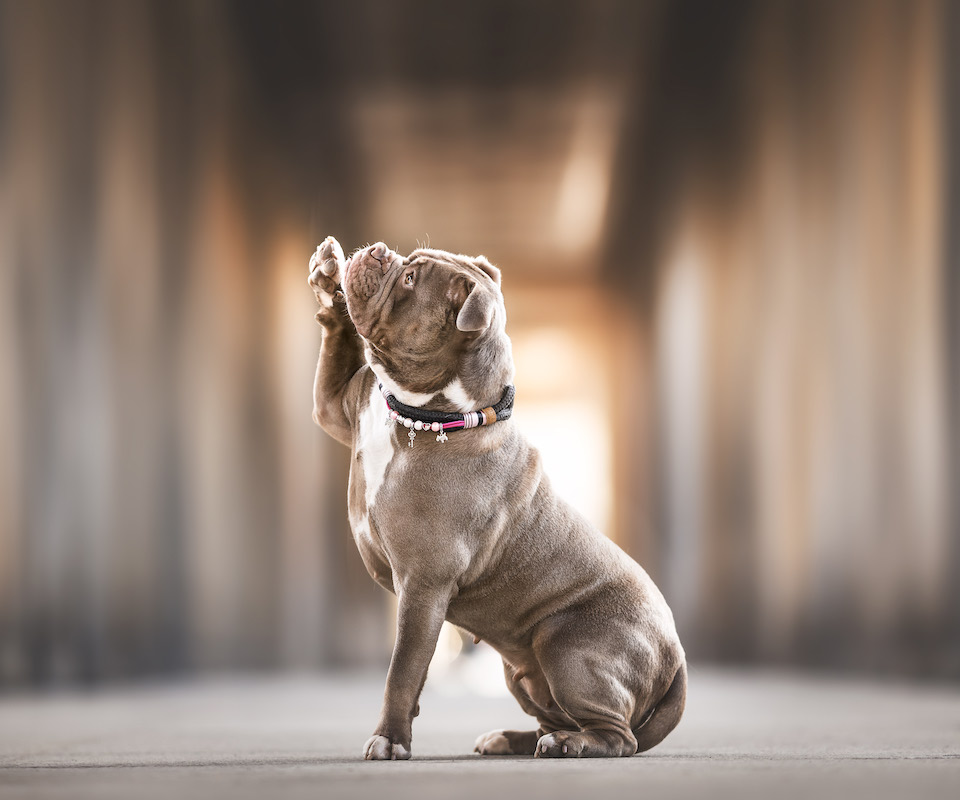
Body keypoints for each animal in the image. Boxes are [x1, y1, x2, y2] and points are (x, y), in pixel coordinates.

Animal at [308, 234, 684, 760]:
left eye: (410, 280)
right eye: (407, 262)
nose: (380, 251)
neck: (426, 413)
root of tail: (677, 655)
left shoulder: (423, 587)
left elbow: (402, 670)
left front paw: (389, 739)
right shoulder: (338, 407)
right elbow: (335, 348)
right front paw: (328, 275)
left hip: (566, 645)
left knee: (618, 735)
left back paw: (568, 744)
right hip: (522, 672)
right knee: (557, 716)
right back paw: (520, 738)